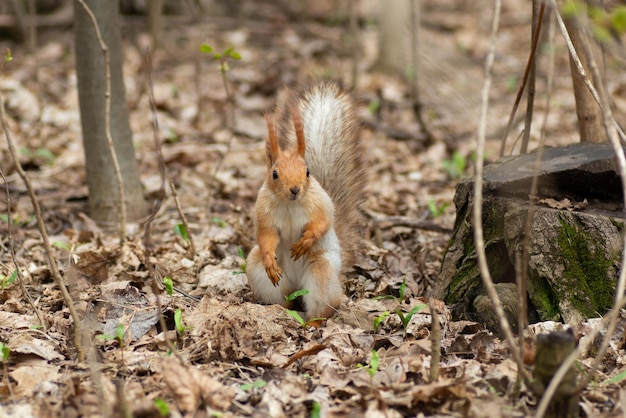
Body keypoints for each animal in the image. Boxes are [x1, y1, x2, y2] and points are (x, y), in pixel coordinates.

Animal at [241, 81, 364, 322]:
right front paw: (270, 259)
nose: (295, 190)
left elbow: (323, 223)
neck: (290, 204)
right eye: (274, 174)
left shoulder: (321, 205)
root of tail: (297, 283)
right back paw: (280, 309)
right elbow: (266, 236)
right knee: (283, 298)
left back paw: (313, 322)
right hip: (259, 272)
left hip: (321, 272)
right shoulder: (263, 214)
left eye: (307, 172)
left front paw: (304, 242)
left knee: (324, 306)